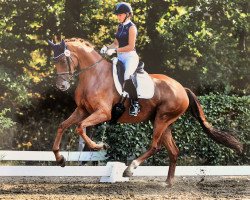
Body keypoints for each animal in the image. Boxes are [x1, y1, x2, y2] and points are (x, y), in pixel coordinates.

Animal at [48, 38, 242, 186]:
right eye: (54, 61)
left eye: (63, 60)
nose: (61, 86)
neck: (94, 75)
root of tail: (182, 88)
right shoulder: (82, 110)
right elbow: (63, 126)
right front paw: (60, 159)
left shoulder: (103, 113)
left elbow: (80, 127)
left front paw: (98, 146)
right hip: (163, 122)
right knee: (173, 151)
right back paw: (167, 182)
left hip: (161, 119)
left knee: (155, 146)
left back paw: (130, 169)